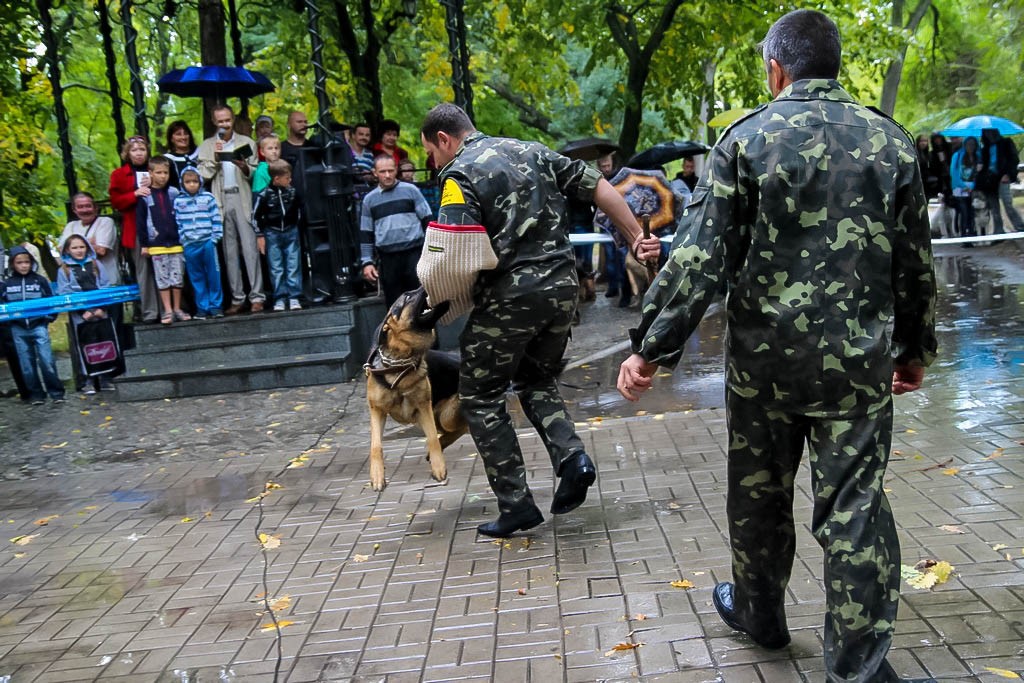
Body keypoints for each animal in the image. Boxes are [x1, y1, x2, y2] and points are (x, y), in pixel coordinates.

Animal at [364, 288, 468, 491]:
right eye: (407, 297)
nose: (423, 285)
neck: (399, 363)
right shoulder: (377, 411)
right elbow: (375, 445)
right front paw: (377, 475)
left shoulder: (423, 407)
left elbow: (432, 439)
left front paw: (438, 467)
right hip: (435, 417)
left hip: (444, 416)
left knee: (462, 427)